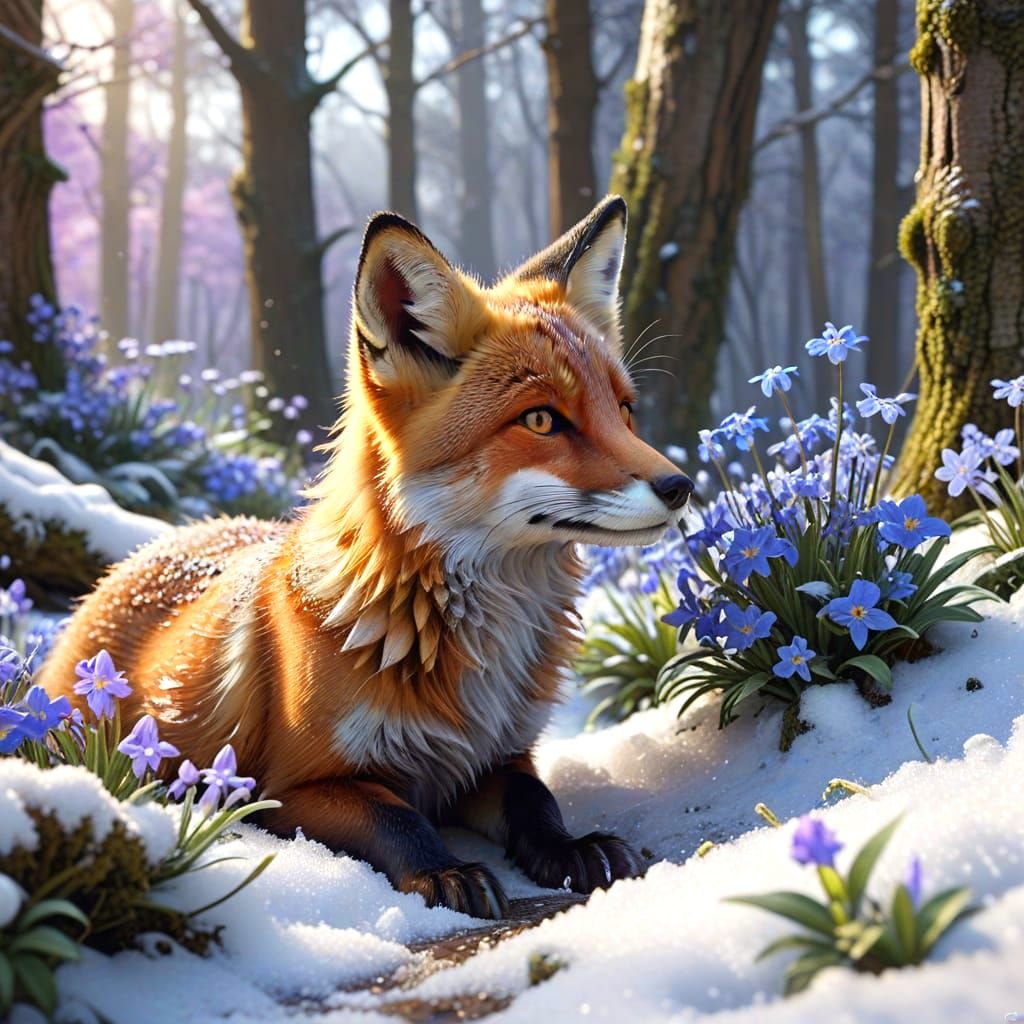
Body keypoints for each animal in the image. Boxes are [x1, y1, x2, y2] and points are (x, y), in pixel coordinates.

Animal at [40, 195, 693, 919]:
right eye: (542, 420)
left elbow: (537, 800)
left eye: (624, 410)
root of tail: (160, 542)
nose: (681, 486)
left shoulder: (494, 758)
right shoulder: (287, 787)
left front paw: (574, 847)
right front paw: (445, 872)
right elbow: (396, 818)